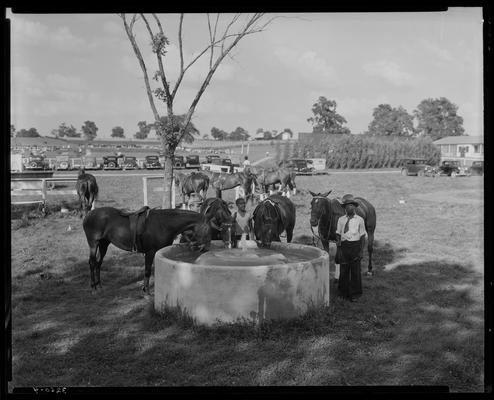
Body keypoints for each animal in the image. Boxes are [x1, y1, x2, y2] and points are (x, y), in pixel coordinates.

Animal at [81, 208, 212, 292]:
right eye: (208, 229)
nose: (206, 248)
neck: (163, 224)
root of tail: (88, 215)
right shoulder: (150, 252)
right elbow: (148, 271)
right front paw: (146, 291)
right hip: (93, 244)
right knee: (92, 263)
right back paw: (93, 287)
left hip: (104, 244)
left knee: (98, 263)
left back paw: (99, 286)